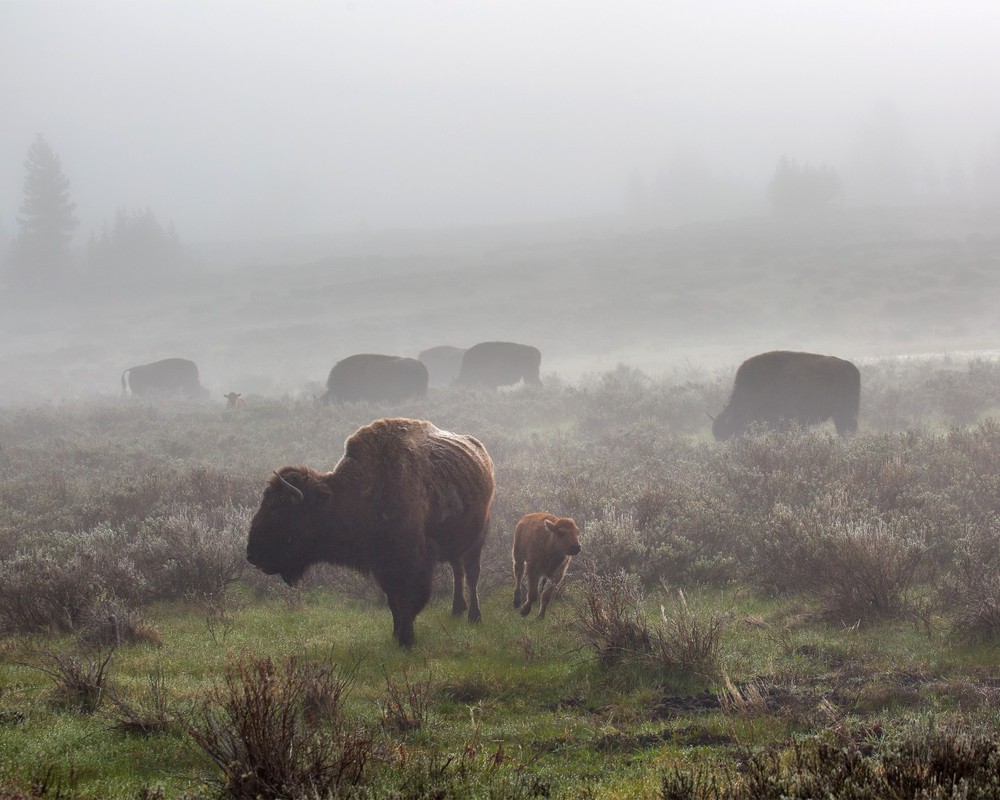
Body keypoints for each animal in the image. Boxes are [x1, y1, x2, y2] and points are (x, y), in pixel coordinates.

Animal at [246, 417, 495, 647]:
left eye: (278, 514)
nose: (251, 555)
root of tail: (482, 455)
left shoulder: (414, 563)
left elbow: (409, 601)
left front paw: (406, 639)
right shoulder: (382, 567)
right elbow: (393, 602)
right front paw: (396, 635)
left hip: (478, 539)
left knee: (472, 574)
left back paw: (474, 616)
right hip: (456, 544)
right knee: (457, 570)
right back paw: (456, 610)